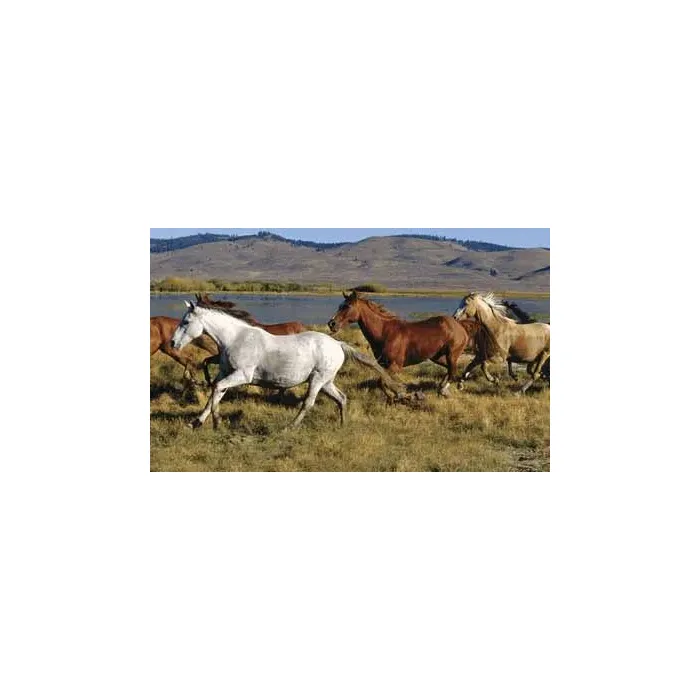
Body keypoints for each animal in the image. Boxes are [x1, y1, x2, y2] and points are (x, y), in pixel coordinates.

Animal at [170, 297, 405, 430]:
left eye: (186, 322)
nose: (173, 343)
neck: (237, 338)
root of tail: (338, 344)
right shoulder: (225, 373)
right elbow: (215, 393)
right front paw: (196, 423)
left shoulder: (242, 375)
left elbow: (216, 390)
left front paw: (217, 422)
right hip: (326, 382)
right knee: (342, 398)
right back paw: (342, 426)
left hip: (318, 380)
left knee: (308, 403)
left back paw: (288, 428)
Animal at [327, 291, 468, 396]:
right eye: (340, 306)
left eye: (347, 306)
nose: (332, 323)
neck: (385, 332)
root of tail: (459, 326)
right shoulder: (384, 365)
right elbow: (383, 383)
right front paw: (396, 394)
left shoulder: (395, 366)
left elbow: (382, 382)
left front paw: (398, 395)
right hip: (437, 357)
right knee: (450, 370)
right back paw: (443, 388)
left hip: (451, 355)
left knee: (452, 371)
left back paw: (445, 390)